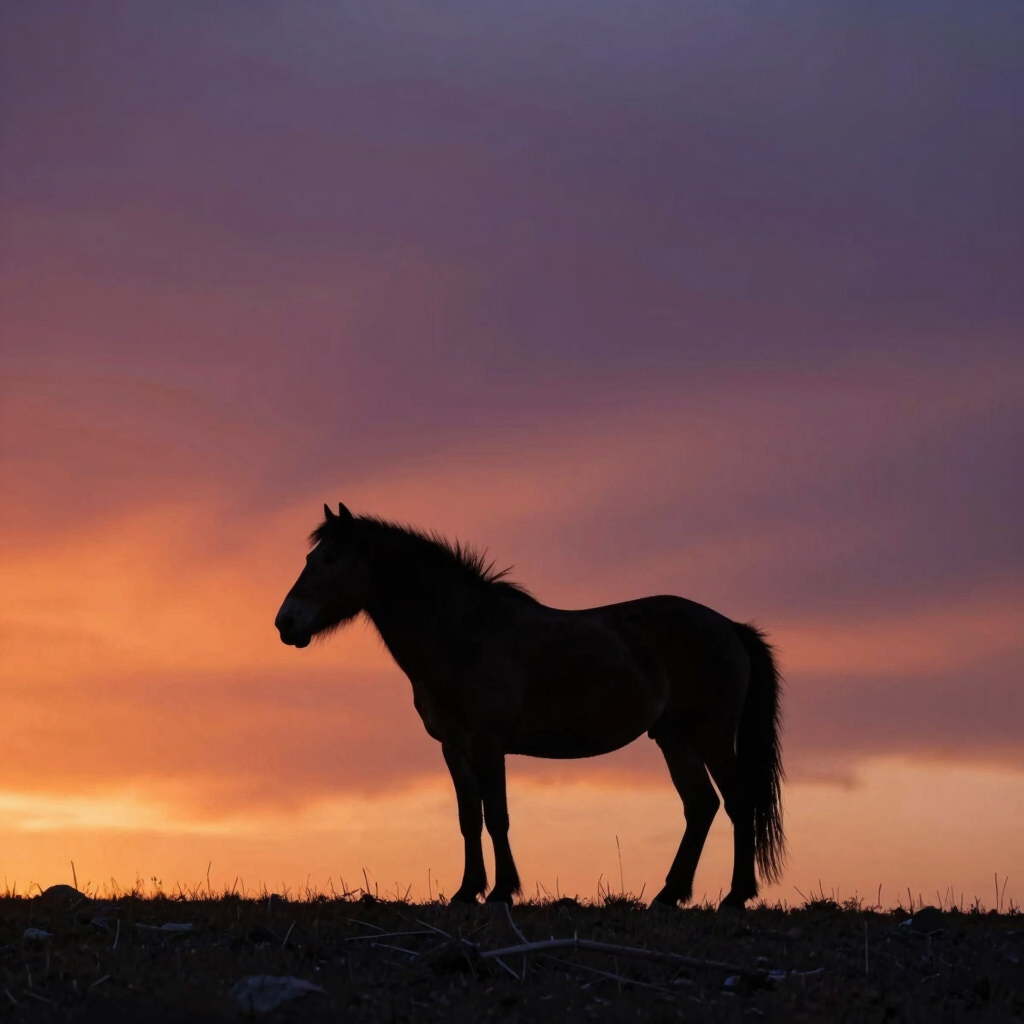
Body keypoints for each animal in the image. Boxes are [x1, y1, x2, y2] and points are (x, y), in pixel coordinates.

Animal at [275, 503, 785, 908]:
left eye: (330, 559)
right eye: (309, 558)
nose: (286, 622)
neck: (464, 633)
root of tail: (729, 627)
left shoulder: (488, 742)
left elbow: (497, 816)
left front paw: (502, 891)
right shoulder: (452, 747)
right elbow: (469, 818)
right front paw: (467, 891)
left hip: (711, 734)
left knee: (738, 803)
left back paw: (735, 896)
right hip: (673, 736)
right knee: (701, 806)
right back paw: (668, 895)